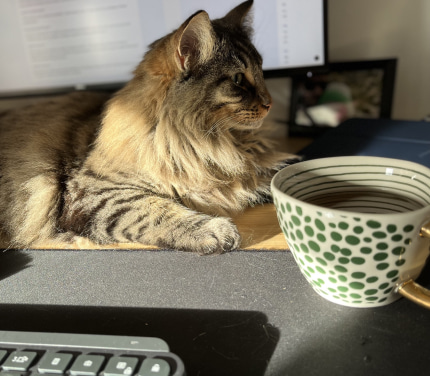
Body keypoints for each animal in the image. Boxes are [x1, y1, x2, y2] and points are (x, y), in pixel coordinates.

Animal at [0, 0, 290, 256]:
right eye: (239, 79)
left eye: (262, 72)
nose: (270, 103)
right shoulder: (93, 192)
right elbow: (155, 209)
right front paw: (216, 230)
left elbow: (275, 174)